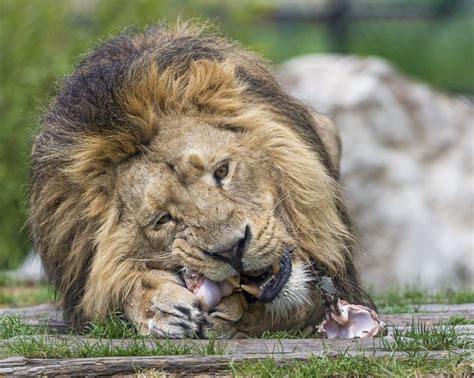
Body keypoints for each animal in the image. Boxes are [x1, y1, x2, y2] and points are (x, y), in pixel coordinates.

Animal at [30, 22, 374, 338]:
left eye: (222, 171)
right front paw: (159, 306)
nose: (232, 250)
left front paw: (234, 313)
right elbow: (111, 283)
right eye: (163, 219)